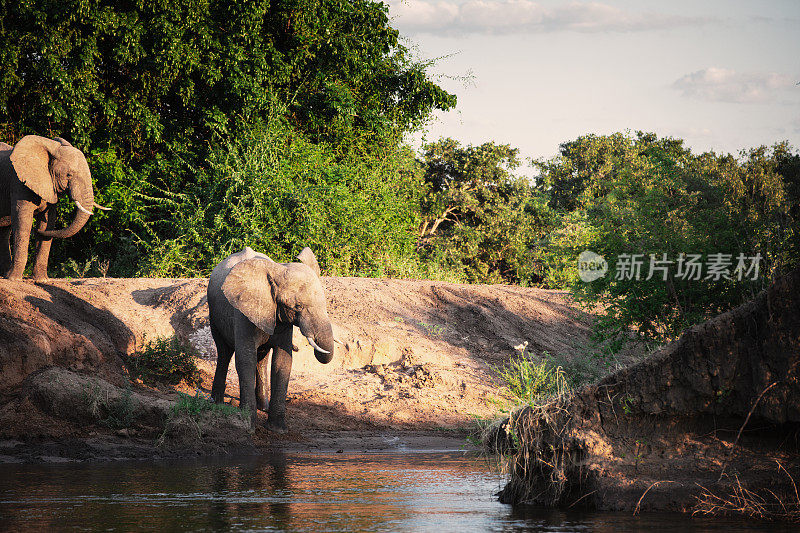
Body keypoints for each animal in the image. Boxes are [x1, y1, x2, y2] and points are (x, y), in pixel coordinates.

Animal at [0, 135, 108, 280]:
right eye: (68, 175)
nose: (36, 231)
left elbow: (48, 222)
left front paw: (42, 279)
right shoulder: (19, 183)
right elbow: (23, 223)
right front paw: (14, 279)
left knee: (4, 230)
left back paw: (5, 274)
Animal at [208, 247, 332, 430]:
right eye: (297, 307)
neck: (278, 269)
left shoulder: (282, 321)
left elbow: (283, 361)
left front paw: (277, 429)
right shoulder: (243, 313)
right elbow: (245, 359)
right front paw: (249, 425)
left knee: (262, 358)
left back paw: (263, 407)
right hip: (214, 314)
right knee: (224, 353)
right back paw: (216, 403)